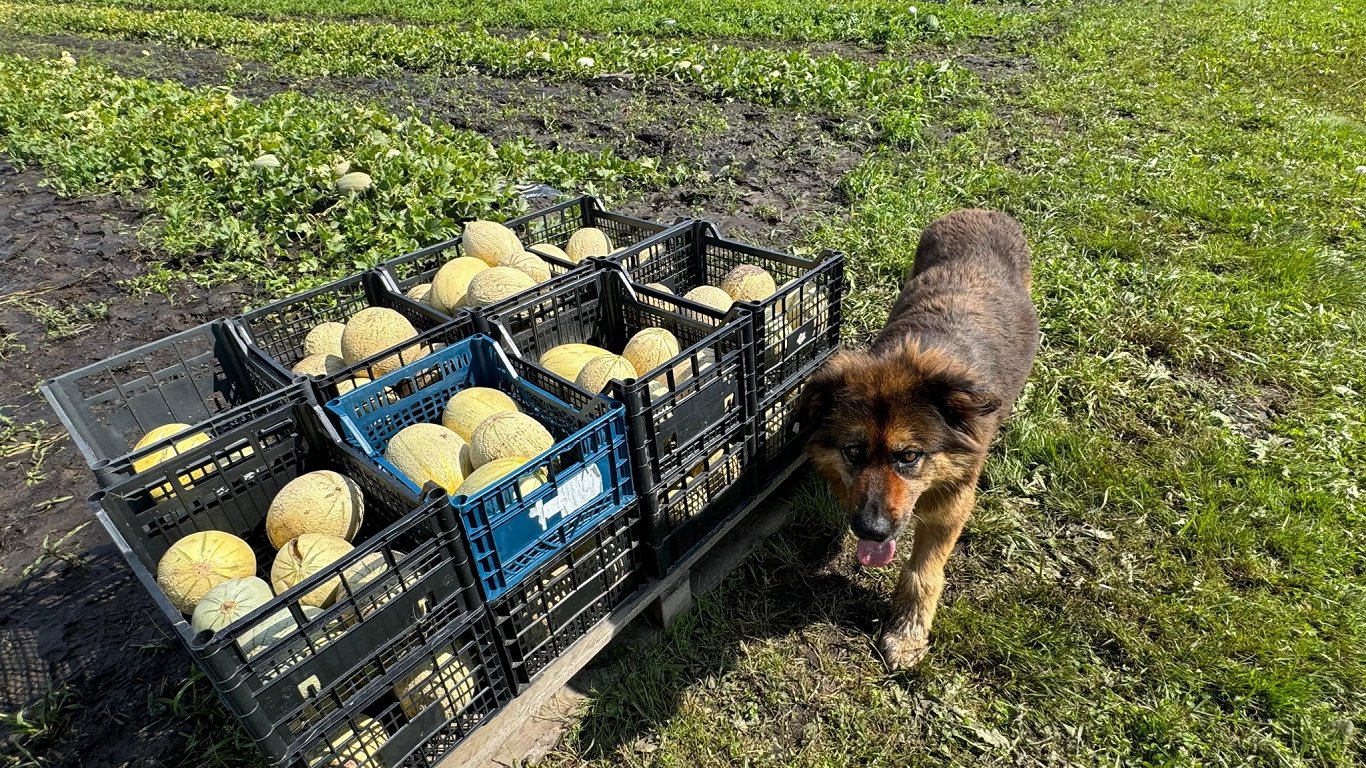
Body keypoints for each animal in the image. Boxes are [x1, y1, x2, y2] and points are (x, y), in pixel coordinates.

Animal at [797, 206, 1038, 666]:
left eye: (909, 456)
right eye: (853, 451)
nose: (871, 531)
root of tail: (981, 209)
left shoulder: (952, 504)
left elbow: (922, 573)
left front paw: (907, 633)